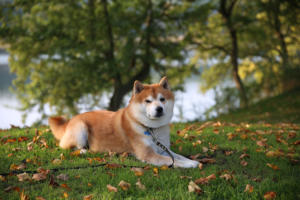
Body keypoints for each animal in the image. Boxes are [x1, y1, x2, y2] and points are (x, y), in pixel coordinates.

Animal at [48, 77, 199, 168]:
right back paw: (84, 150)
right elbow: (171, 160)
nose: (159, 109)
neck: (151, 128)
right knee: (69, 147)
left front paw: (190, 160)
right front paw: (190, 165)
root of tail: (70, 121)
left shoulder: (163, 149)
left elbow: (177, 156)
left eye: (162, 99)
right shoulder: (148, 154)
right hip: (80, 128)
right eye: (148, 101)